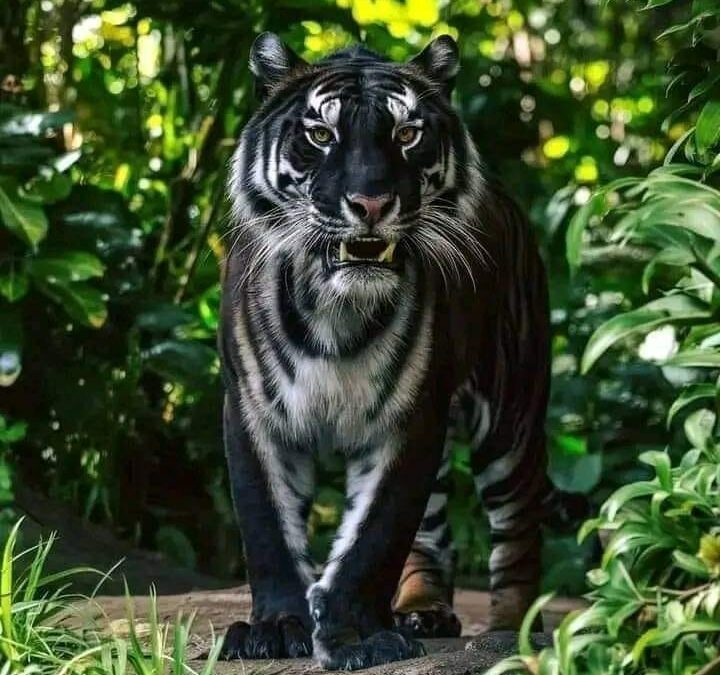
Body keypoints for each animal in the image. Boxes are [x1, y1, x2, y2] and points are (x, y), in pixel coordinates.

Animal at [218, 32, 552, 670]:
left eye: (407, 134)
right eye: (321, 134)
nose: (371, 203)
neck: (333, 308)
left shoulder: (411, 417)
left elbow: (377, 532)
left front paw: (356, 635)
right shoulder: (252, 409)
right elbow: (266, 527)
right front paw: (277, 628)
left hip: (511, 417)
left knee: (521, 530)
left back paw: (514, 631)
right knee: (434, 532)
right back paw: (422, 609)